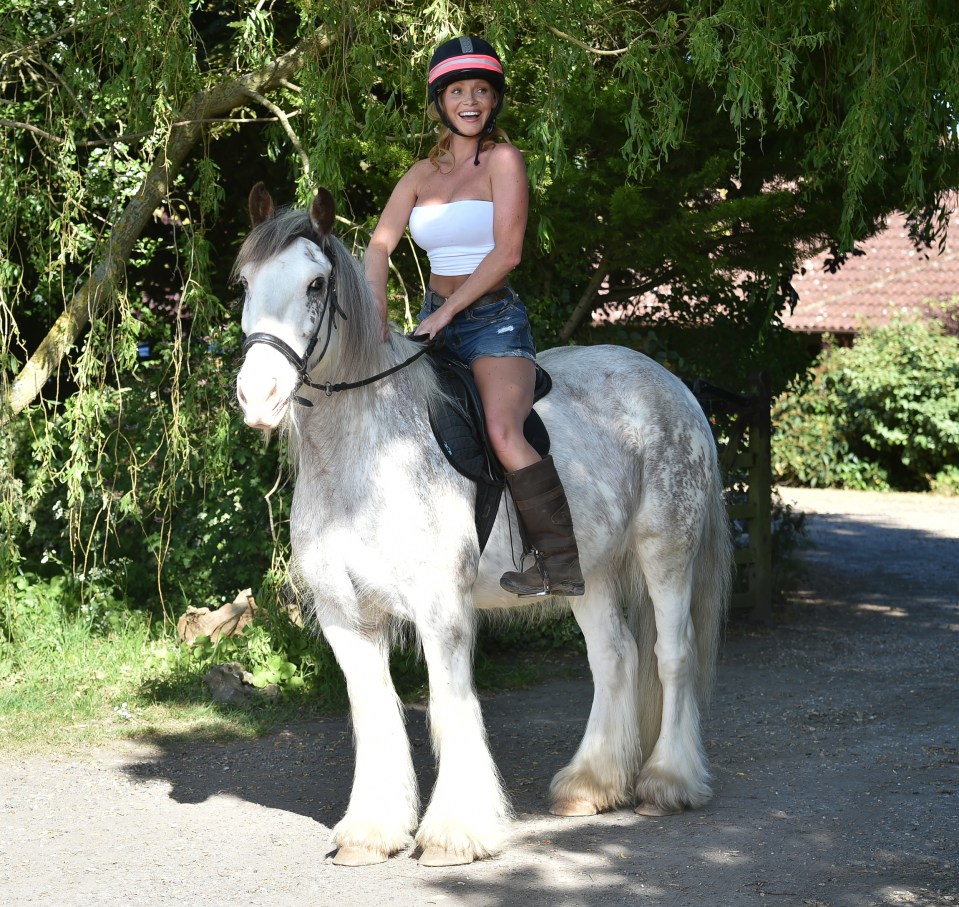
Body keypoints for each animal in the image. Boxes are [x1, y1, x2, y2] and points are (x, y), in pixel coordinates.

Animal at [234, 183, 736, 864]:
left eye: (315, 284)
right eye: (244, 282)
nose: (257, 396)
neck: (362, 460)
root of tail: (671, 386)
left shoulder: (441, 611)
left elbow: (451, 707)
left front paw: (455, 830)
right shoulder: (346, 615)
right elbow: (376, 714)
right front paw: (371, 830)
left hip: (667, 553)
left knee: (672, 654)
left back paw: (669, 782)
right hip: (590, 572)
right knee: (615, 656)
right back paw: (591, 784)